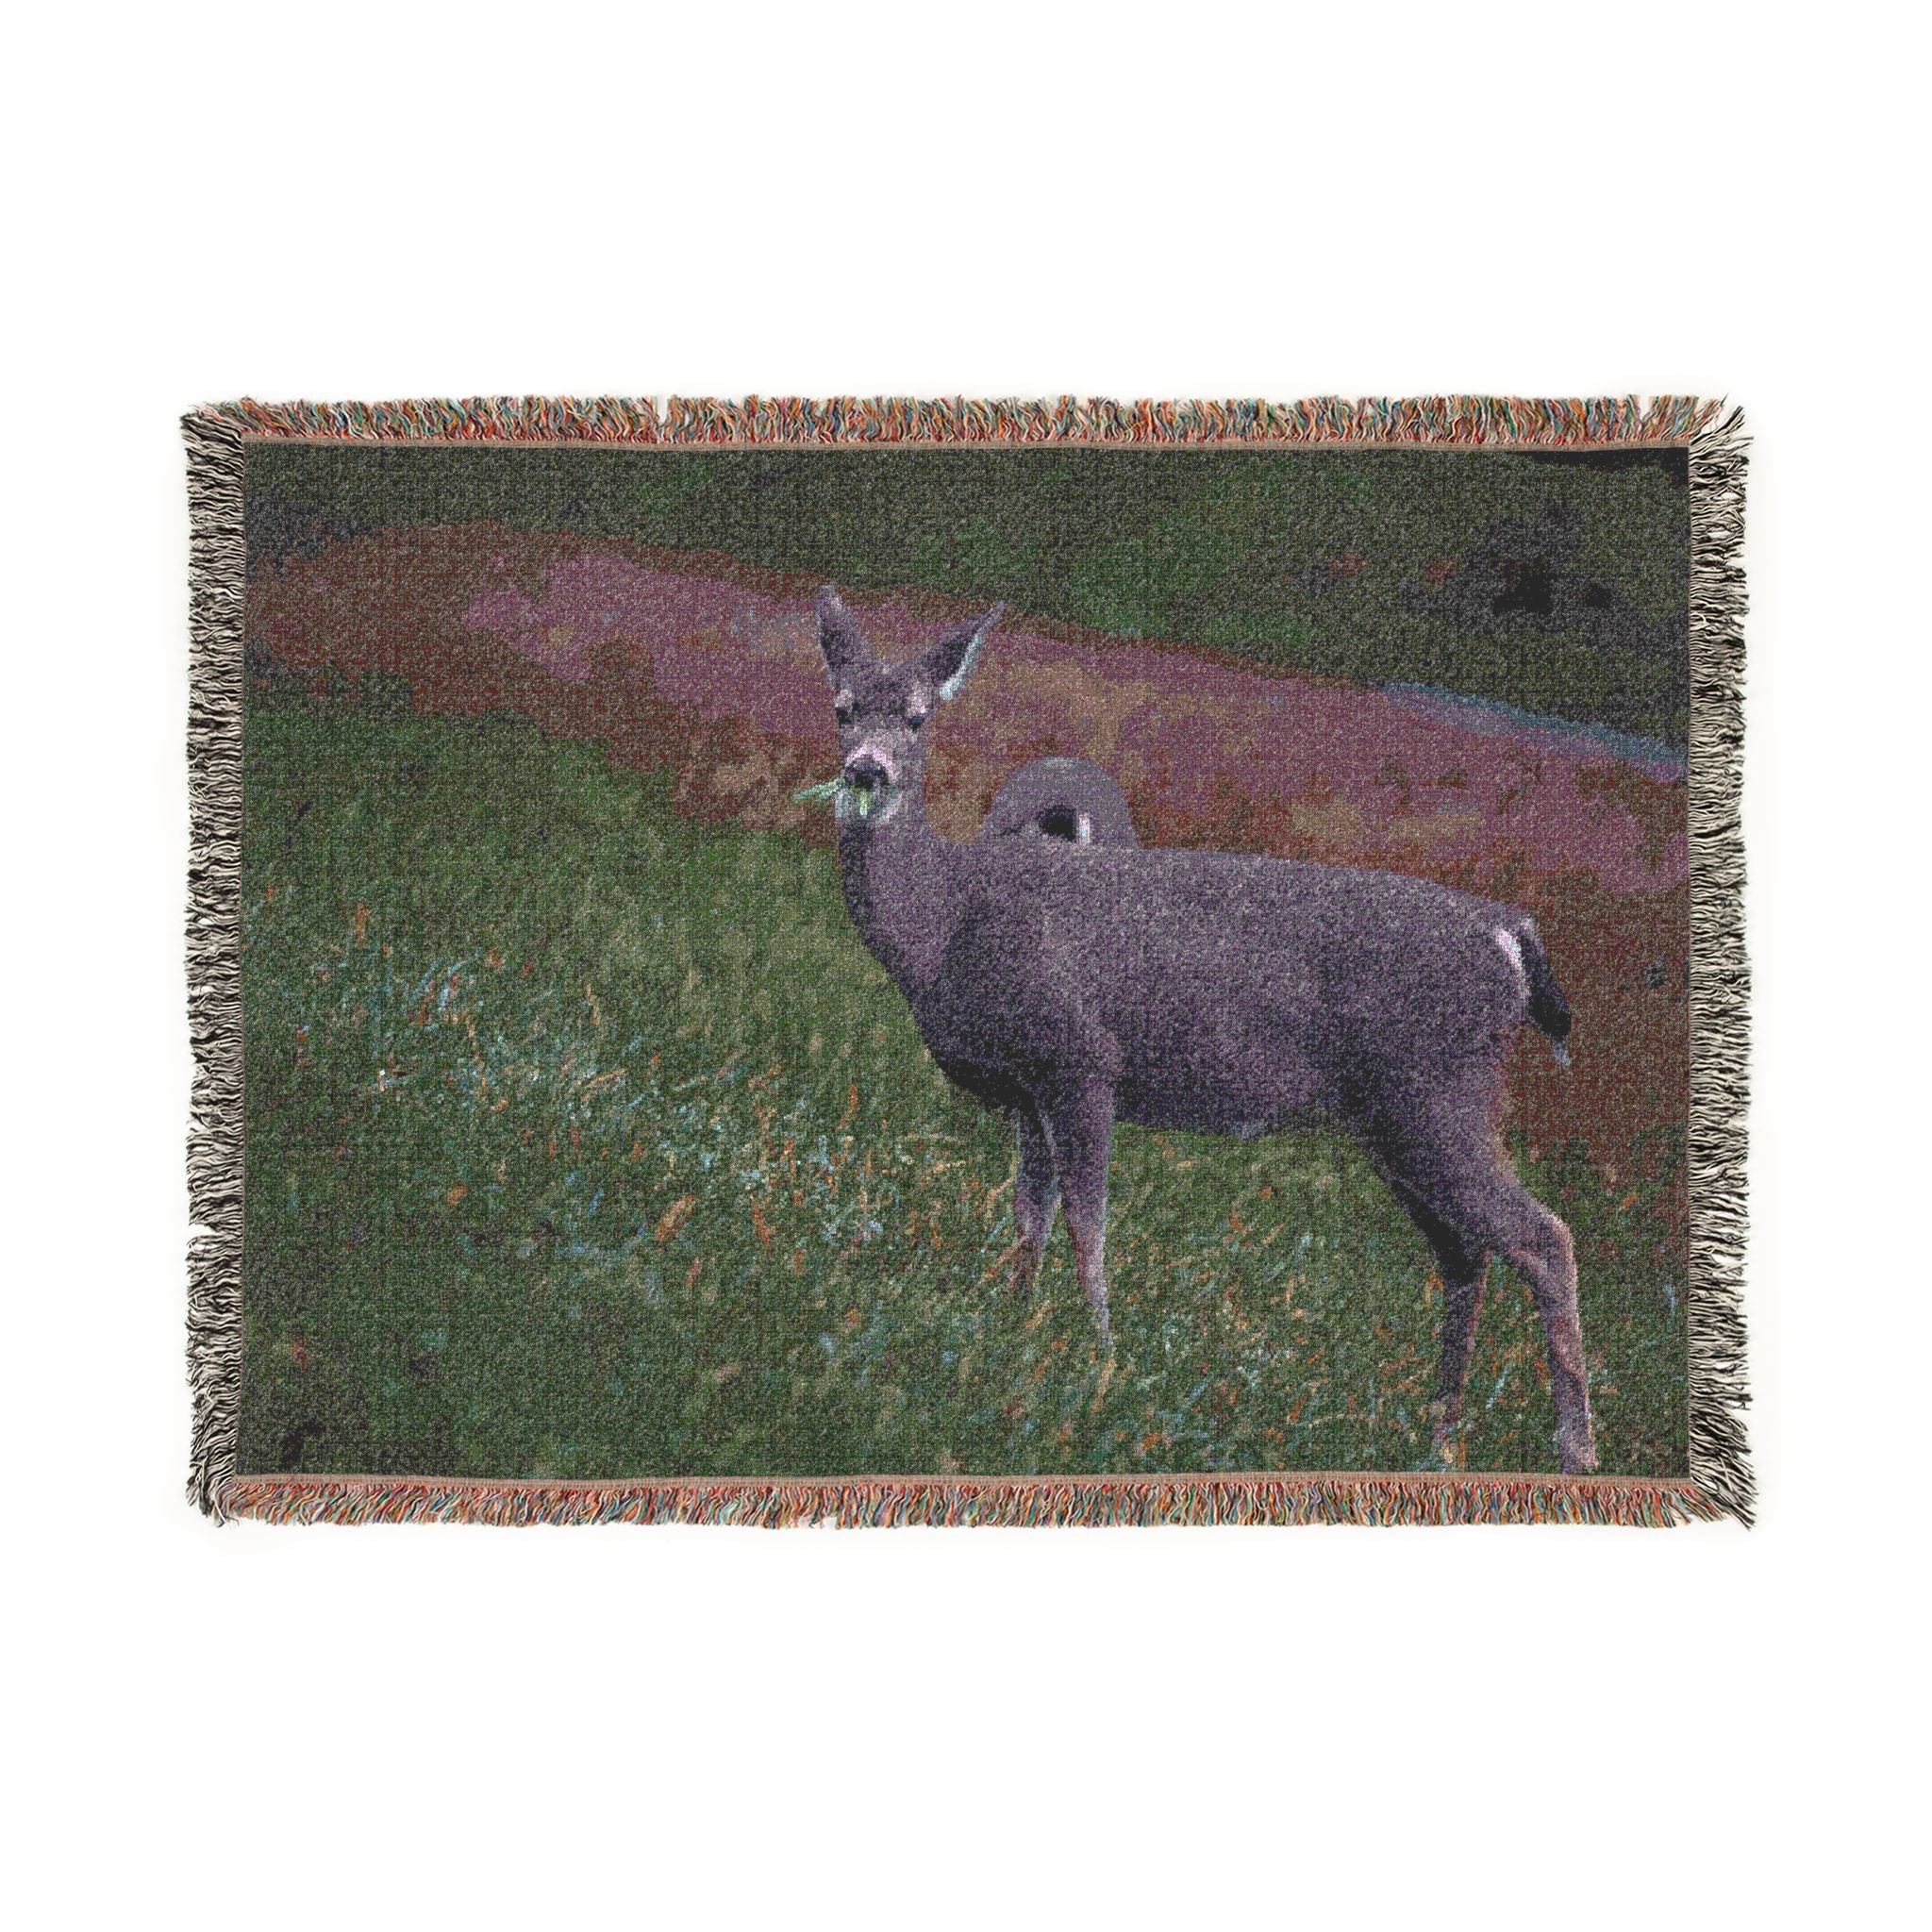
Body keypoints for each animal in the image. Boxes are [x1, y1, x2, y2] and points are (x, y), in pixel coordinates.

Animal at [813, 586, 1597, 1473]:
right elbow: (1027, 1218)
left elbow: (1087, 1222)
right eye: (842, 708)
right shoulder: (1027, 1088)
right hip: (1398, 1116)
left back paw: (1573, 1453)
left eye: (917, 718)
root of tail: (1511, 936)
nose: (865, 771)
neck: (946, 923)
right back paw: (1439, 1440)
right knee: (1466, 1255)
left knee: (1544, 1237)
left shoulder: (1082, 1059)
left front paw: (1100, 1360)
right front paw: (1016, 1327)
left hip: (1434, 1092)